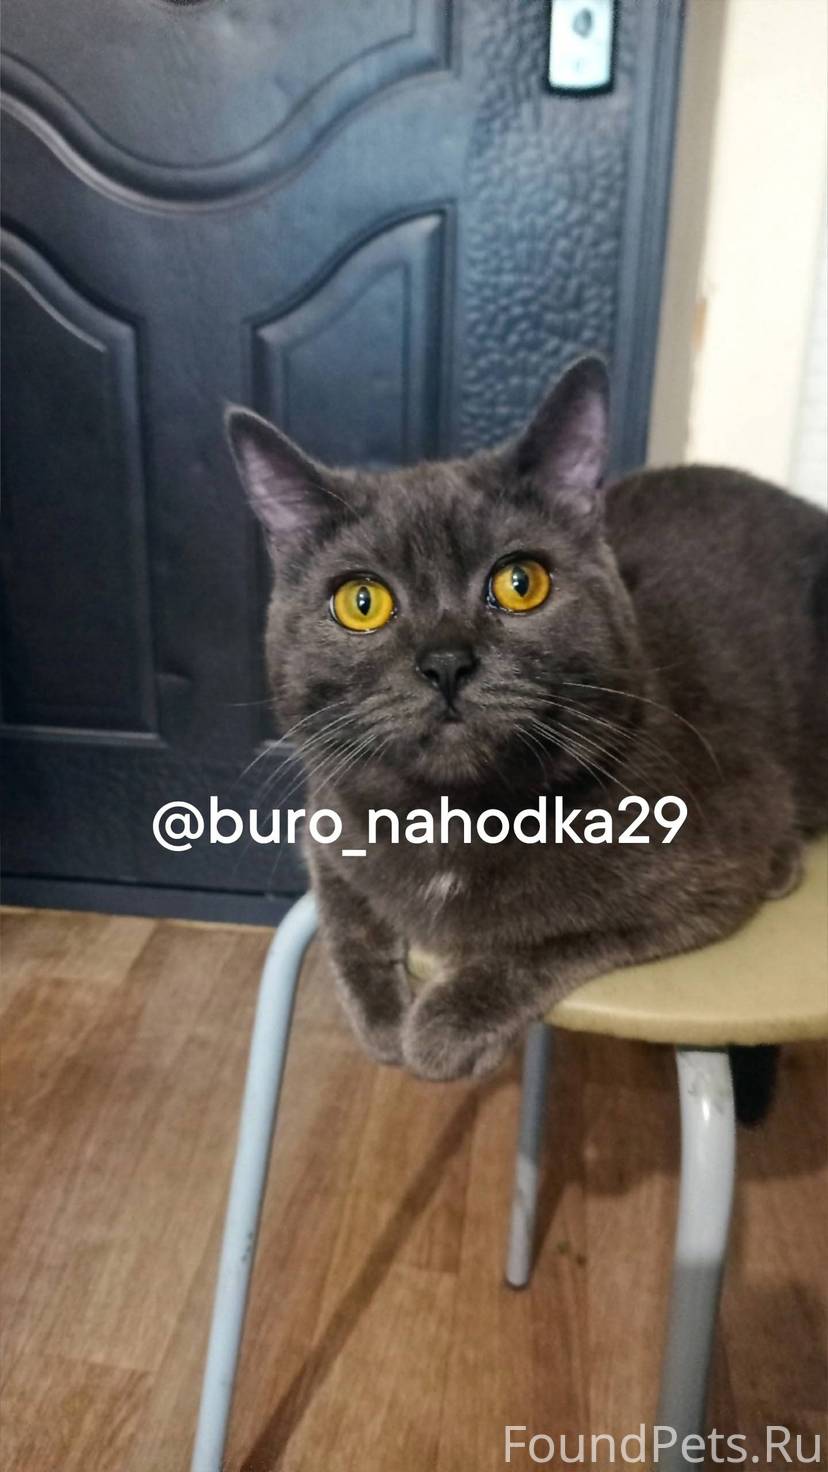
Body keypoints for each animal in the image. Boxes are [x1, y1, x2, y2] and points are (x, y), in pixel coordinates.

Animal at [226, 356, 828, 1089]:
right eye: (360, 601)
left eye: (521, 584)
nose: (446, 661)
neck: (455, 817)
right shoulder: (327, 818)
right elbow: (348, 910)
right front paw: (381, 1020)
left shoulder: (708, 877)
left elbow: (554, 936)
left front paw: (443, 1026)